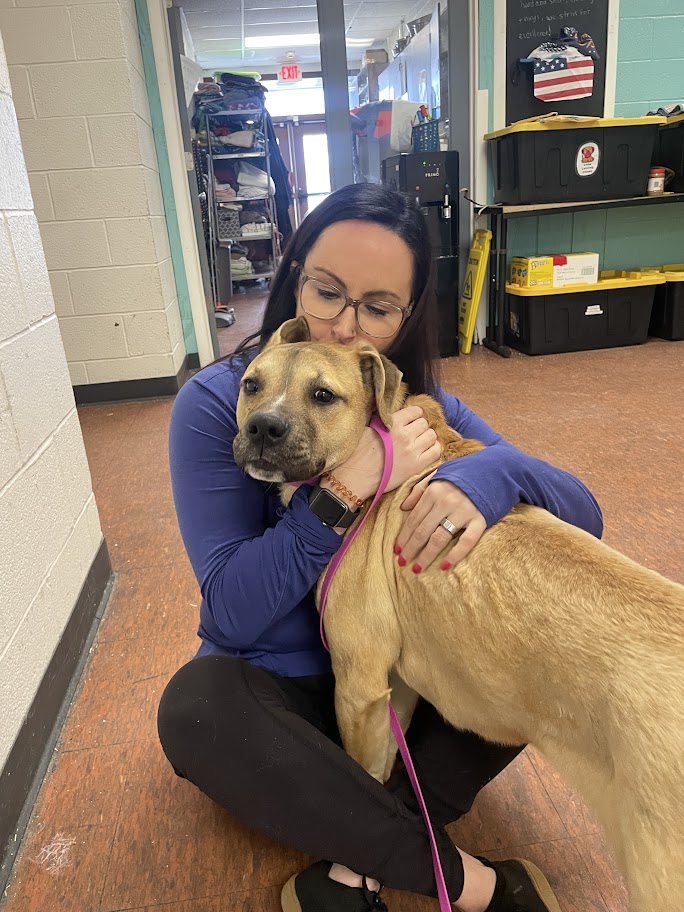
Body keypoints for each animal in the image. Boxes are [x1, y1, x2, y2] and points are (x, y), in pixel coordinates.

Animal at [234, 318, 684, 908]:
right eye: (251, 385)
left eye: (323, 396)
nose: (263, 427)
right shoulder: (396, 687)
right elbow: (387, 769)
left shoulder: (357, 684)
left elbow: (363, 779)